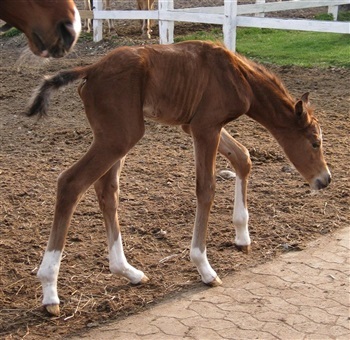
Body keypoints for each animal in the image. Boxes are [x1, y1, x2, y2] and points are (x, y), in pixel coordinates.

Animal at [28, 40, 330, 316]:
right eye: (315, 143)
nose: (325, 180)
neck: (238, 75)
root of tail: (92, 68)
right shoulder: (205, 126)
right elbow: (206, 188)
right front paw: (204, 268)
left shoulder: (195, 126)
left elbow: (243, 158)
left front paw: (242, 237)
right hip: (119, 136)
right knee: (71, 182)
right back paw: (50, 290)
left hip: (115, 138)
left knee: (107, 190)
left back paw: (128, 271)